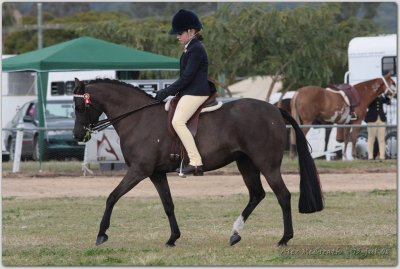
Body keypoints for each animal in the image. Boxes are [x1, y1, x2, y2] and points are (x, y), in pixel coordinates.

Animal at [72, 77, 324, 247]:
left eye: (79, 106)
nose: (77, 135)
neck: (138, 117)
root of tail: (274, 109)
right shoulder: (156, 173)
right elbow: (168, 204)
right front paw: (173, 238)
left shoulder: (139, 170)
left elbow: (112, 196)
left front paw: (101, 234)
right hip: (246, 163)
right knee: (257, 195)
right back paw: (235, 234)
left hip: (267, 164)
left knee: (283, 196)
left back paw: (284, 238)